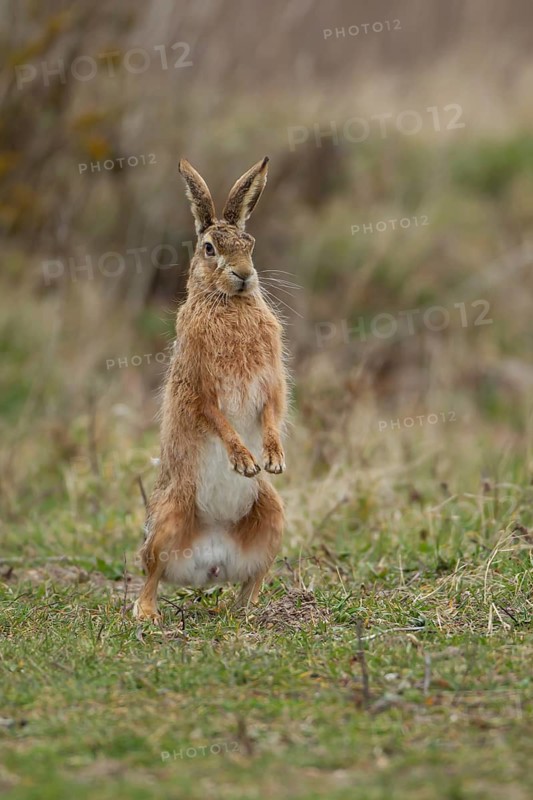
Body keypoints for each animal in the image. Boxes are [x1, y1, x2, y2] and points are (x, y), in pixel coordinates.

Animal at [133, 156, 288, 622]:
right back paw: (147, 614)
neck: (228, 303)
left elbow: (271, 414)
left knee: (254, 576)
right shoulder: (200, 388)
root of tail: (210, 565)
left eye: (249, 244)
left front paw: (271, 459)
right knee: (150, 572)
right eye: (209, 249)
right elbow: (217, 418)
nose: (244, 276)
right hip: (167, 517)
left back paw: (248, 610)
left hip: (273, 516)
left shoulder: (270, 382)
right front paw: (244, 461)